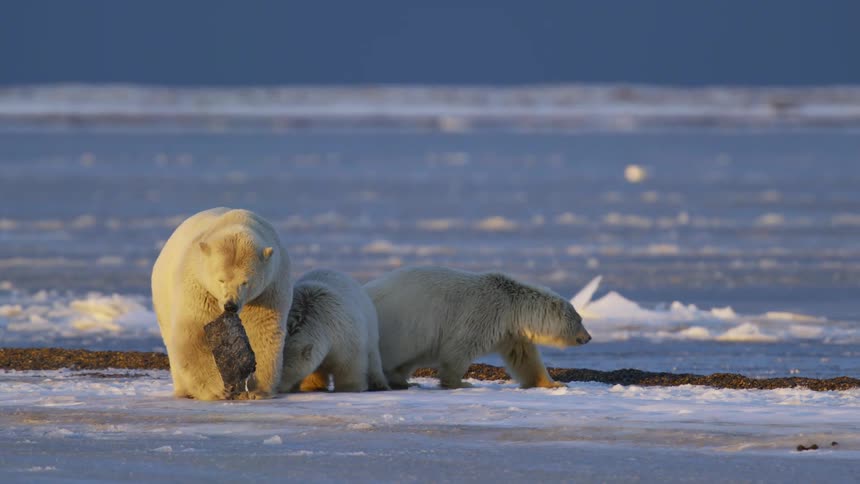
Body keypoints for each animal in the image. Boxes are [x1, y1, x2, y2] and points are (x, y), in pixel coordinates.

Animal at [151, 207, 292, 400]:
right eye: (221, 280)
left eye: (245, 282)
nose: (230, 305)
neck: (236, 222)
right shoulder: (198, 285)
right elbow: (195, 332)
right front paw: (218, 389)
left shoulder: (269, 288)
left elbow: (262, 330)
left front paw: (257, 390)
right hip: (163, 295)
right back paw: (184, 390)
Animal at [364, 266, 591, 390]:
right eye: (579, 319)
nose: (588, 337)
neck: (511, 306)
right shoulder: (484, 314)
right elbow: (459, 348)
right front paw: (460, 383)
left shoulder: (511, 332)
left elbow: (525, 358)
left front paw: (554, 384)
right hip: (399, 326)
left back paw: (404, 381)